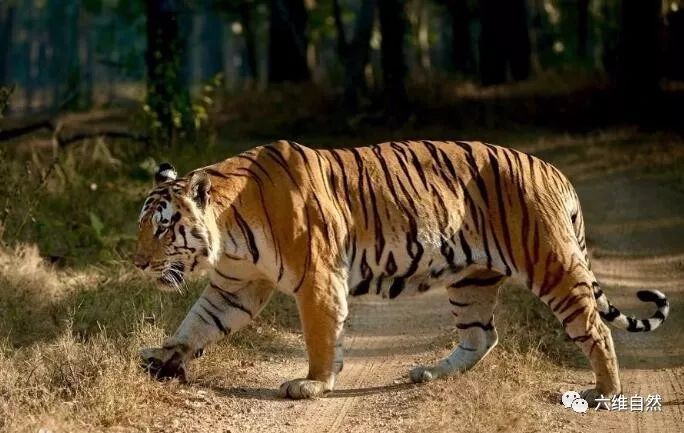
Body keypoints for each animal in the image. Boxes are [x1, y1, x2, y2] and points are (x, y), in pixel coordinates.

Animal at [134, 139, 668, 402]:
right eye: (141, 225)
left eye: (163, 227)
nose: (137, 263)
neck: (229, 232)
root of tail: (556, 172)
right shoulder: (237, 285)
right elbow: (197, 324)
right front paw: (162, 357)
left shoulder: (318, 279)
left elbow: (321, 337)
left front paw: (313, 385)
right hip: (470, 280)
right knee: (482, 335)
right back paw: (429, 373)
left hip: (551, 264)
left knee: (596, 328)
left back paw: (605, 392)